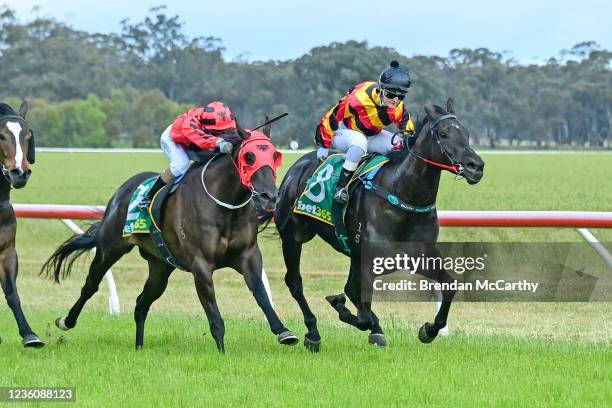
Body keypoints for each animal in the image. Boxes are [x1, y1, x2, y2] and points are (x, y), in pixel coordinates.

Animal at [41, 121, 298, 350]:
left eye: (275, 155)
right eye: (249, 157)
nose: (269, 196)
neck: (225, 204)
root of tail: (121, 192)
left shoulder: (248, 256)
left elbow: (261, 293)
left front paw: (283, 331)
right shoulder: (200, 264)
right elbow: (214, 315)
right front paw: (222, 352)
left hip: (160, 267)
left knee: (141, 303)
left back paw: (139, 347)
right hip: (109, 248)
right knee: (90, 286)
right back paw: (66, 321)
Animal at [270, 99, 486, 350]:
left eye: (467, 134)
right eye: (443, 134)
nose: (476, 166)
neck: (401, 195)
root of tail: (296, 167)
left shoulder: (417, 254)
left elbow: (449, 285)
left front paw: (429, 330)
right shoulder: (368, 257)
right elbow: (361, 313)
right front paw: (343, 308)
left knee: (349, 289)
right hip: (293, 237)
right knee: (295, 282)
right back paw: (313, 332)